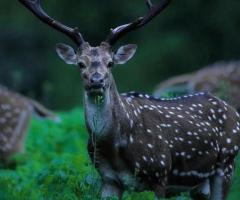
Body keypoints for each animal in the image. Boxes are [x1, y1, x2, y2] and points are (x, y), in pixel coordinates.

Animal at [18, 0, 240, 199]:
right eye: (80, 63)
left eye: (110, 63)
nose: (96, 80)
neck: (115, 147)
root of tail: (233, 110)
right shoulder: (108, 180)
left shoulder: (160, 174)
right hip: (200, 184)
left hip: (226, 162)